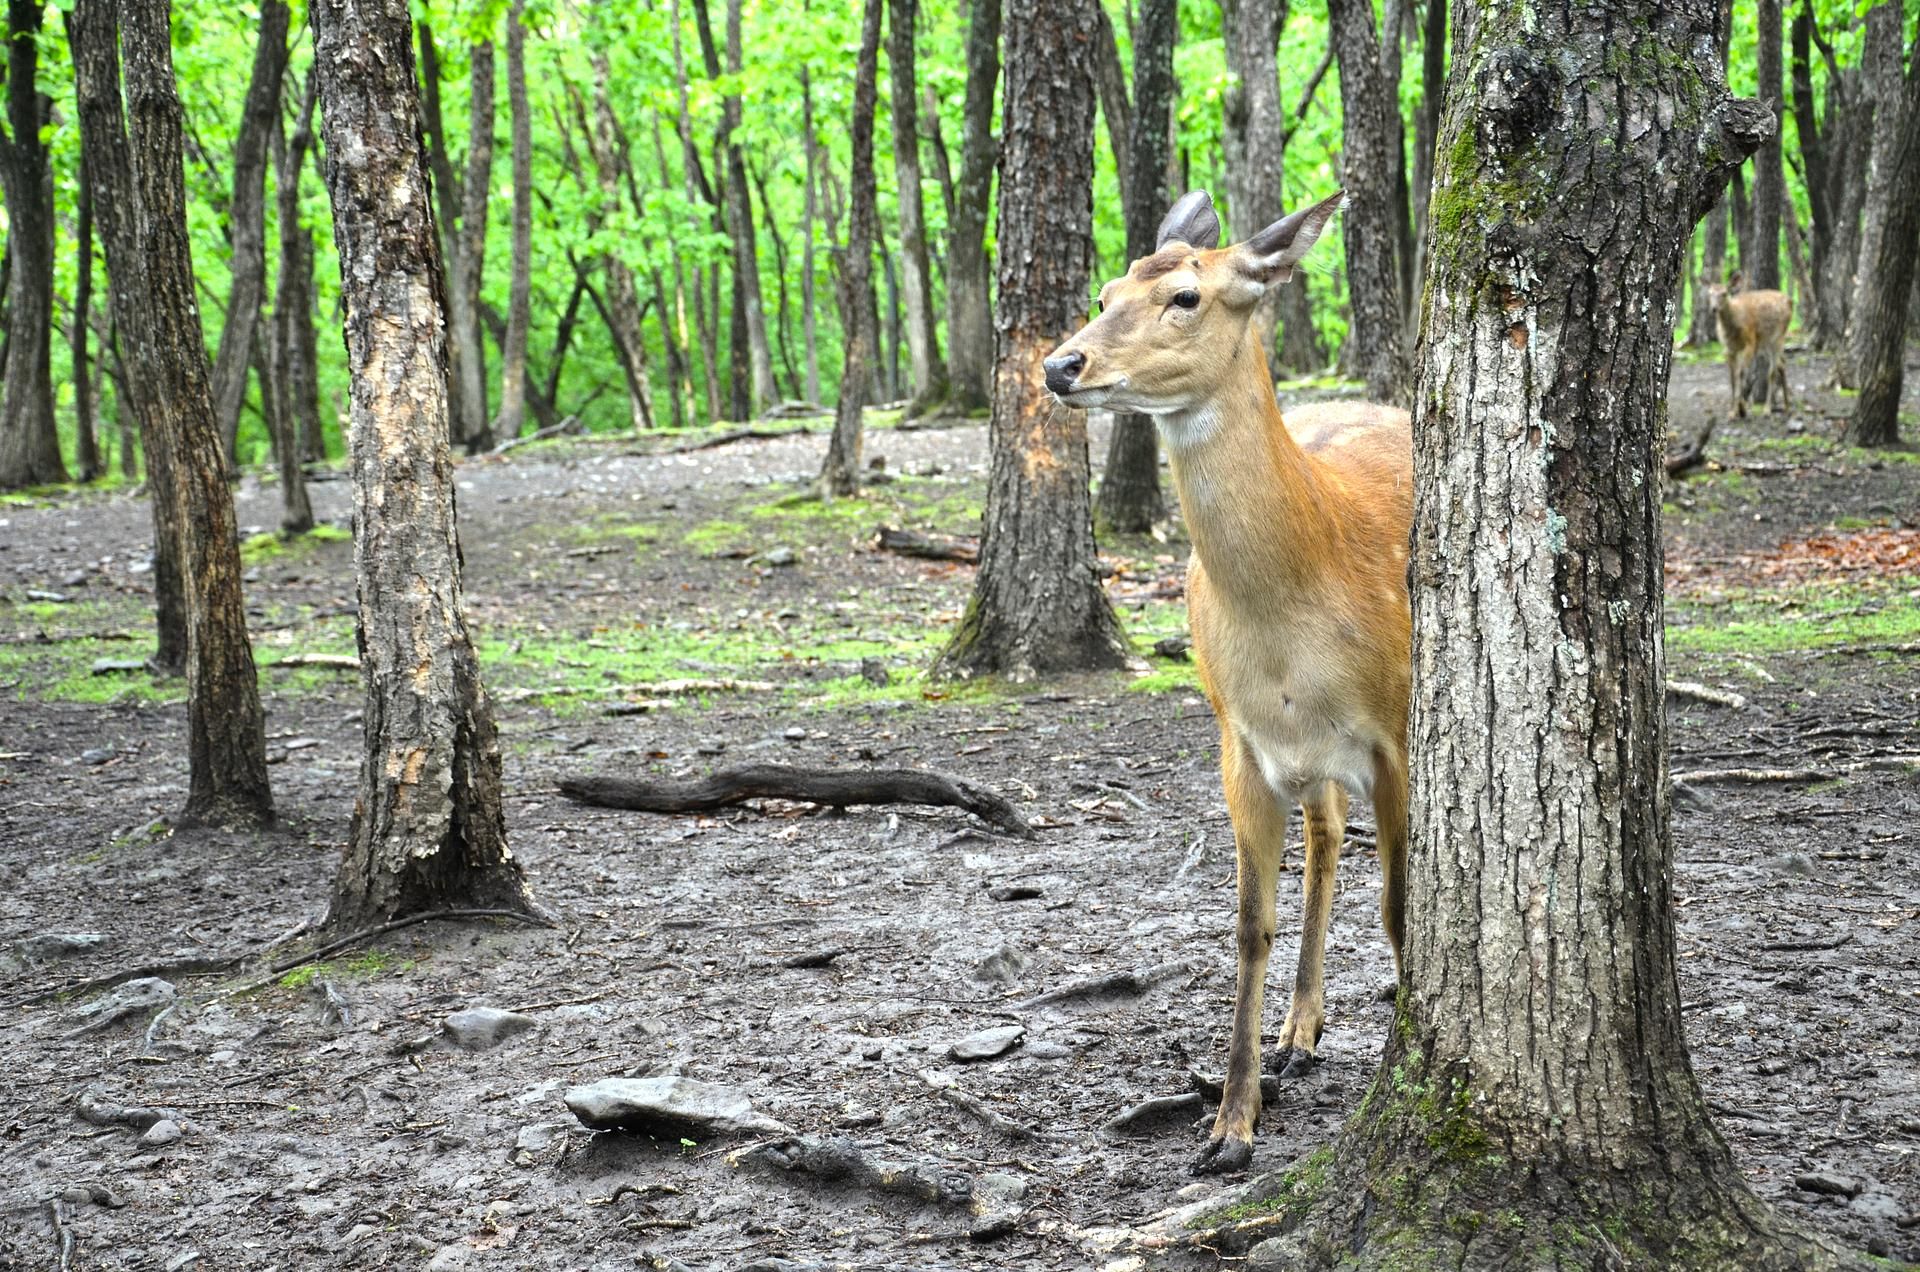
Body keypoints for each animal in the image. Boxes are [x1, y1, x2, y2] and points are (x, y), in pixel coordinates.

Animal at [1044, 187, 1420, 1175]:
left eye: (1185, 296)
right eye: (1103, 290)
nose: (1061, 363)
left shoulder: (1396, 733)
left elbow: (1401, 907)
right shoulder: (1239, 742)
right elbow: (1249, 925)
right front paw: (1229, 1124)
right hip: (1302, 760)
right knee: (1325, 836)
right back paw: (1299, 1034)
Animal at [1704, 270, 1789, 420]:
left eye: (1724, 293)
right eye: (1710, 293)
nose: (1714, 309)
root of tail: (1790, 301)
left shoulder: (1750, 343)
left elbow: (1741, 373)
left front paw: (1741, 409)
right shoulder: (1729, 349)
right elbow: (1732, 378)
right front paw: (1733, 411)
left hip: (1778, 336)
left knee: (1772, 372)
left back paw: (1767, 409)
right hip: (1765, 343)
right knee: (1782, 364)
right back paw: (1787, 405)